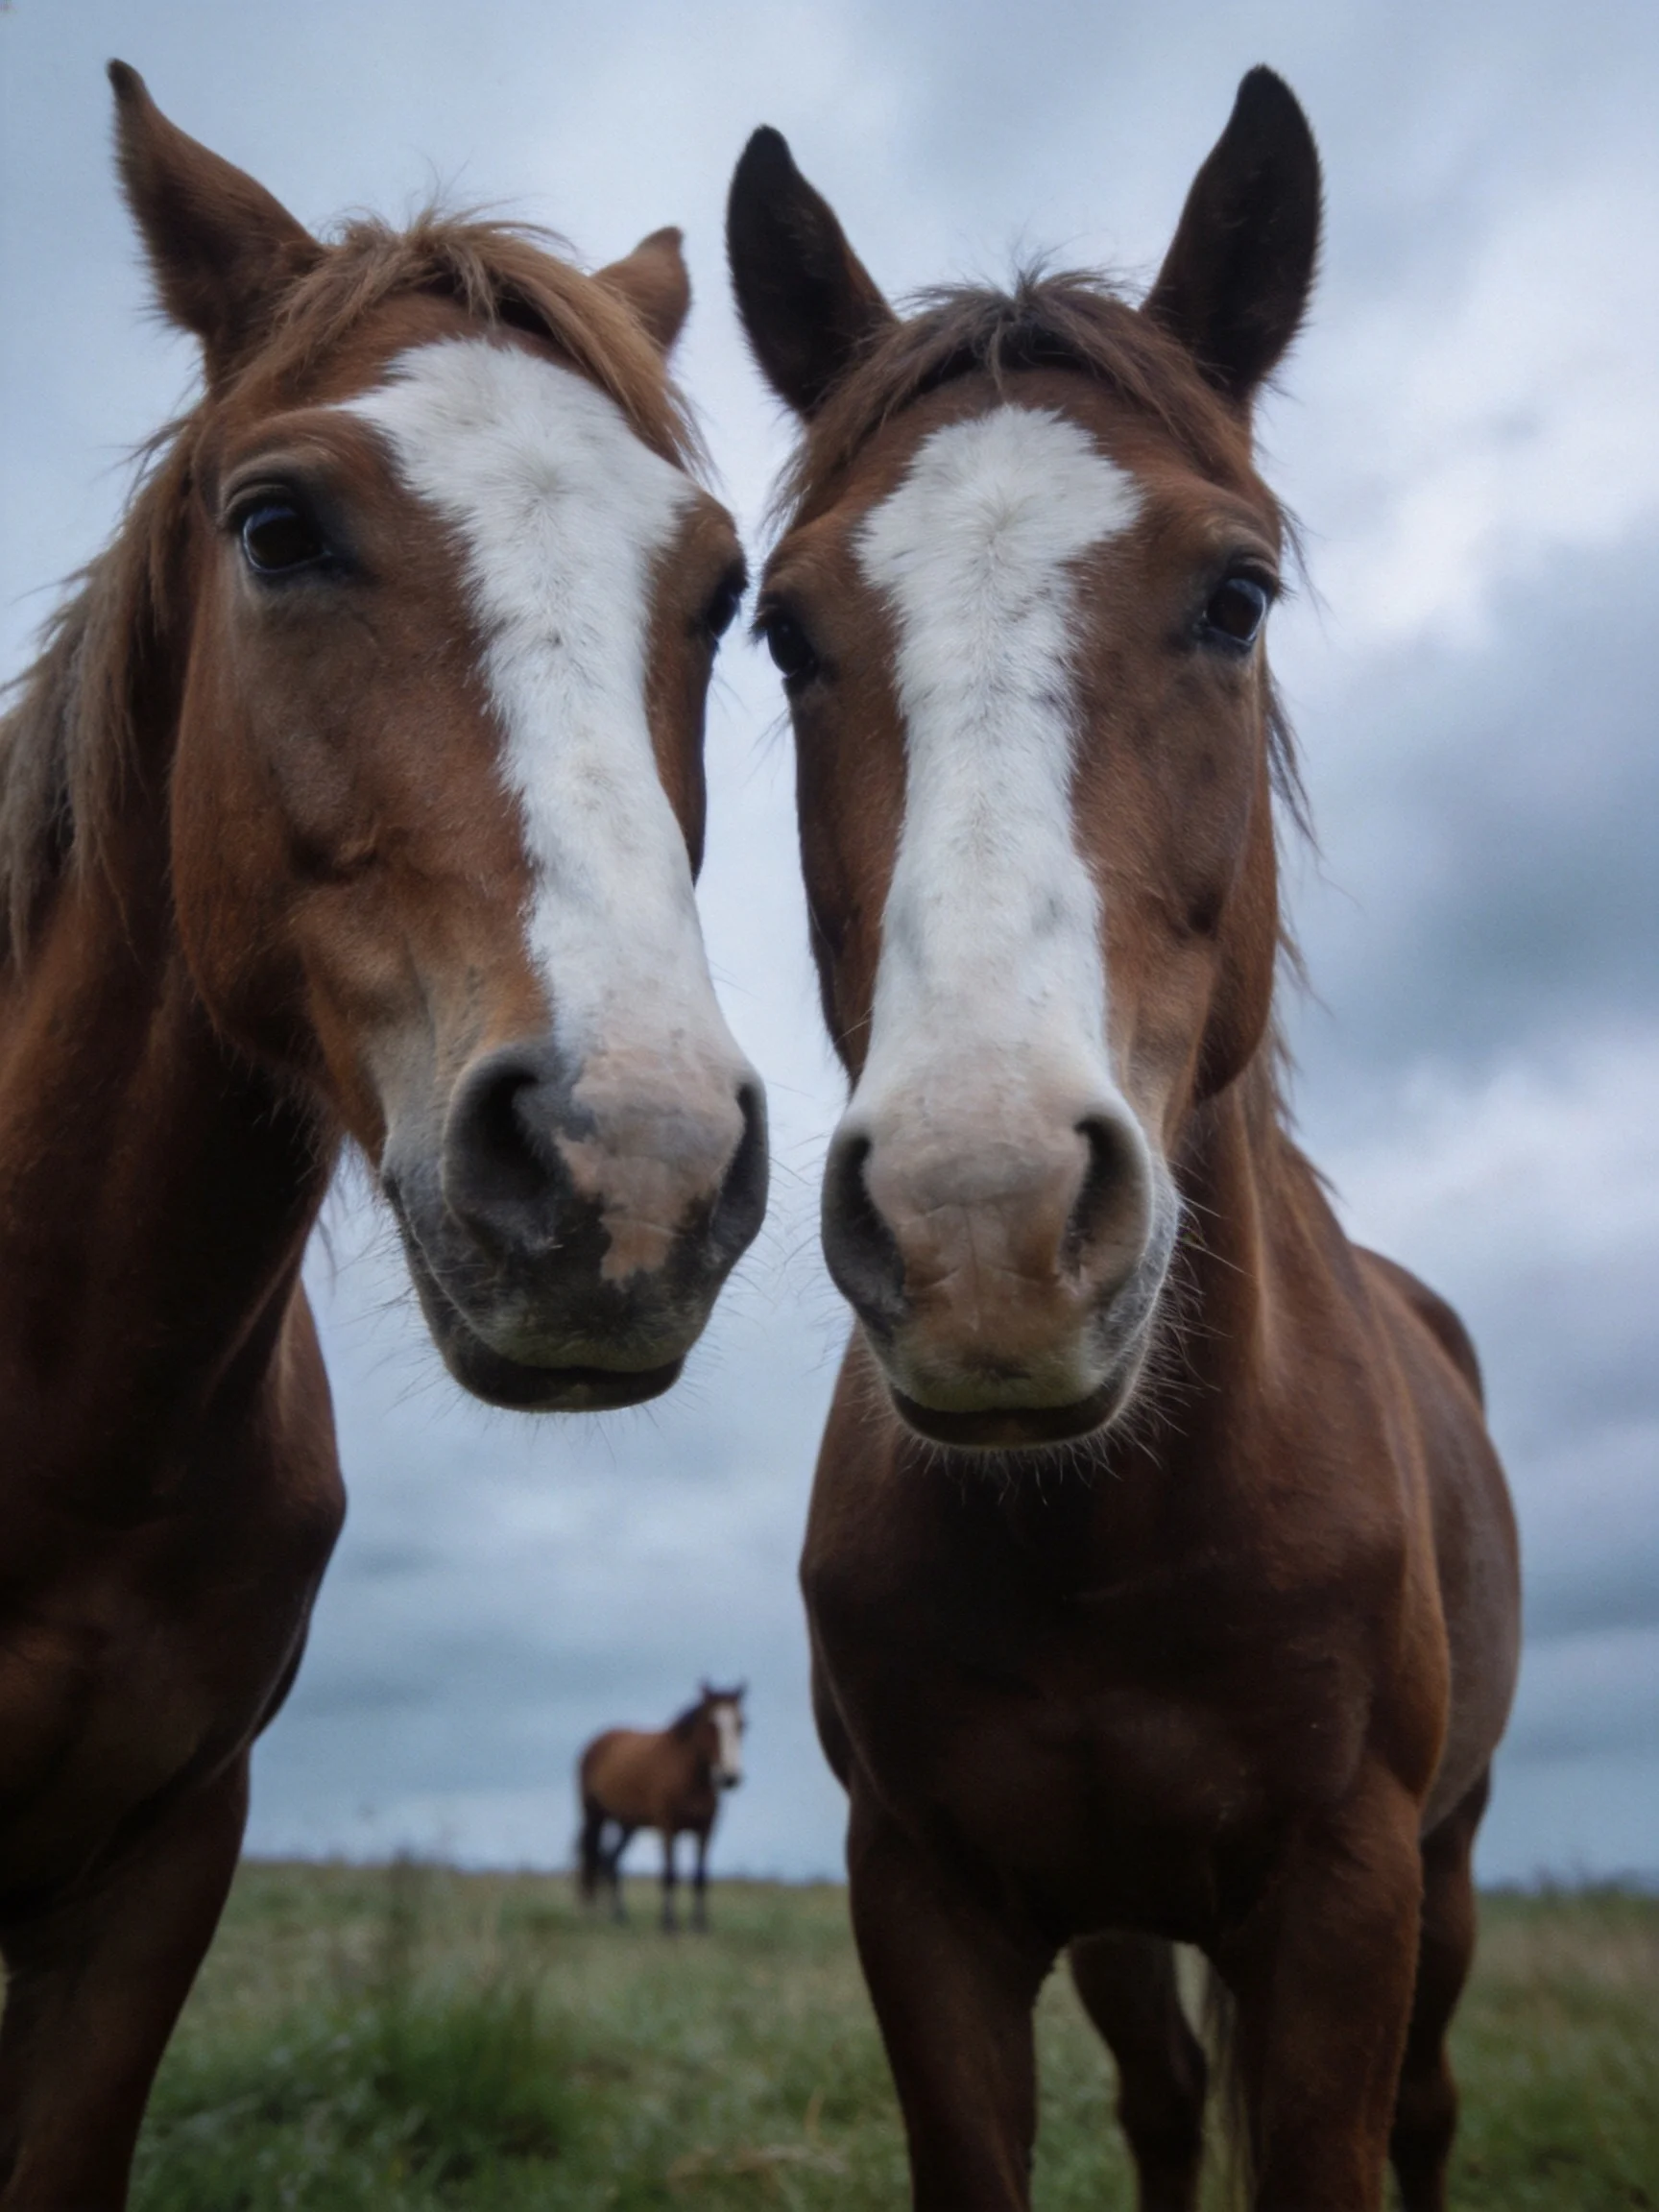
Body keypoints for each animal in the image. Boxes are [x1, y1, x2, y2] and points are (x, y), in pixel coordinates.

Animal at [577, 1683, 746, 1930]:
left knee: (610, 1860)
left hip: (628, 1824)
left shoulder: (706, 1830)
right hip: (593, 1815)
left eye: (742, 1724)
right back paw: (590, 1910)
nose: (730, 1778)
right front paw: (669, 1923)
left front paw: (700, 1925)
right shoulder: (668, 1828)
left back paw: (619, 1915)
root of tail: (596, 1743)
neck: (690, 1778)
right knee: (590, 1855)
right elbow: (670, 1875)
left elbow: (700, 1877)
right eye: (710, 1724)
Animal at [728, 68, 1520, 2212]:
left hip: (1448, 1872)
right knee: (1168, 2103)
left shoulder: (1346, 1899)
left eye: (1234, 595)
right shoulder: (930, 1901)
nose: (983, 1224)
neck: (1114, 1532)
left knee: (1428, 2110)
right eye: (783, 636)